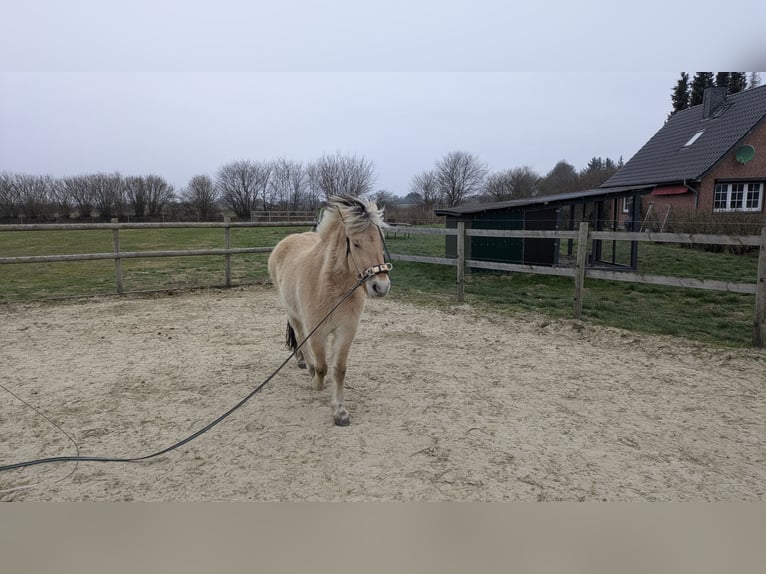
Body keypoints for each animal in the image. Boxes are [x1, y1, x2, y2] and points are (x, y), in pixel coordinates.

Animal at [267, 195, 392, 426]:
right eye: (356, 243)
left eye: (380, 242)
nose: (381, 287)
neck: (333, 286)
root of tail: (288, 241)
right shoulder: (317, 331)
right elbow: (322, 366)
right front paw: (317, 384)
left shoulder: (346, 330)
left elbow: (339, 368)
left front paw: (340, 411)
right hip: (293, 314)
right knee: (300, 337)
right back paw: (306, 365)